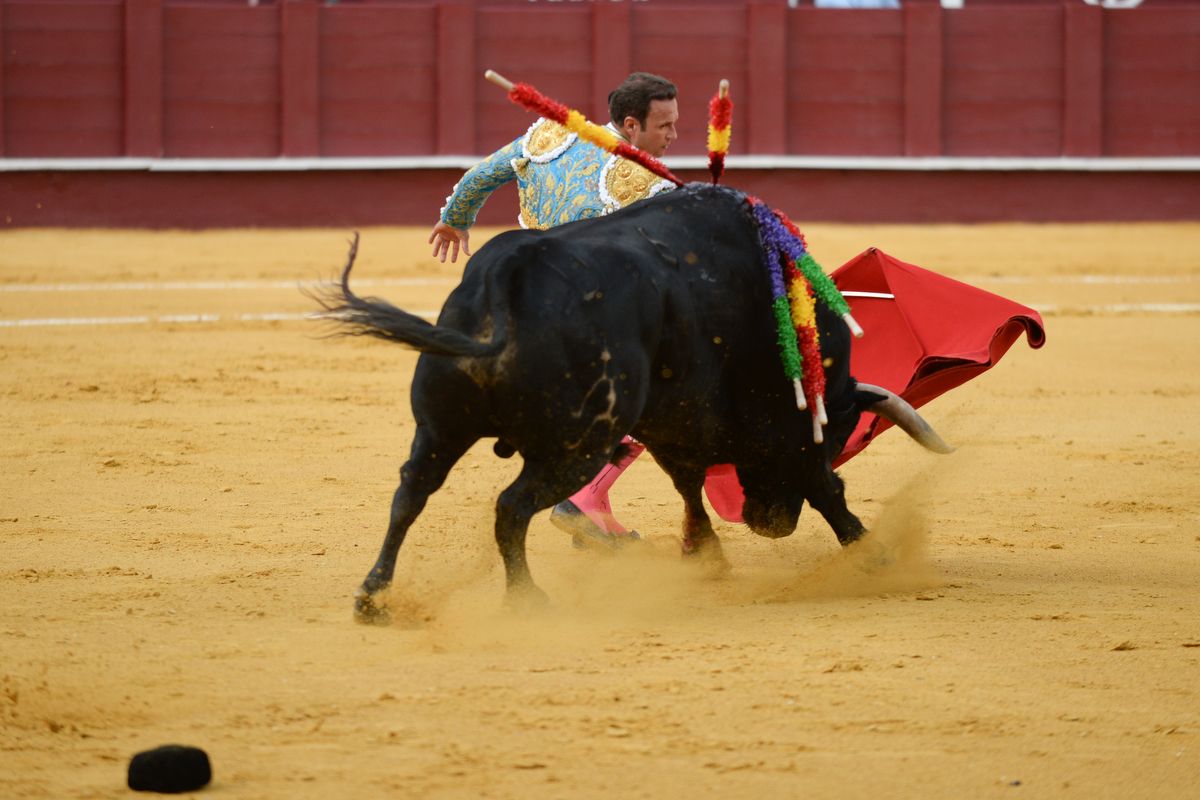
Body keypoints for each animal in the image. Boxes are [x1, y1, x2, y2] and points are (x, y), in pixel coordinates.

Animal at [314, 183, 950, 618]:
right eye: (837, 435)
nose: (771, 524)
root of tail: (506, 275)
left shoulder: (675, 421)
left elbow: (687, 483)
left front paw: (706, 555)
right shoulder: (748, 428)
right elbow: (818, 484)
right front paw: (870, 554)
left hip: (440, 427)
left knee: (410, 494)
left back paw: (372, 597)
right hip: (577, 444)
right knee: (511, 507)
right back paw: (527, 599)